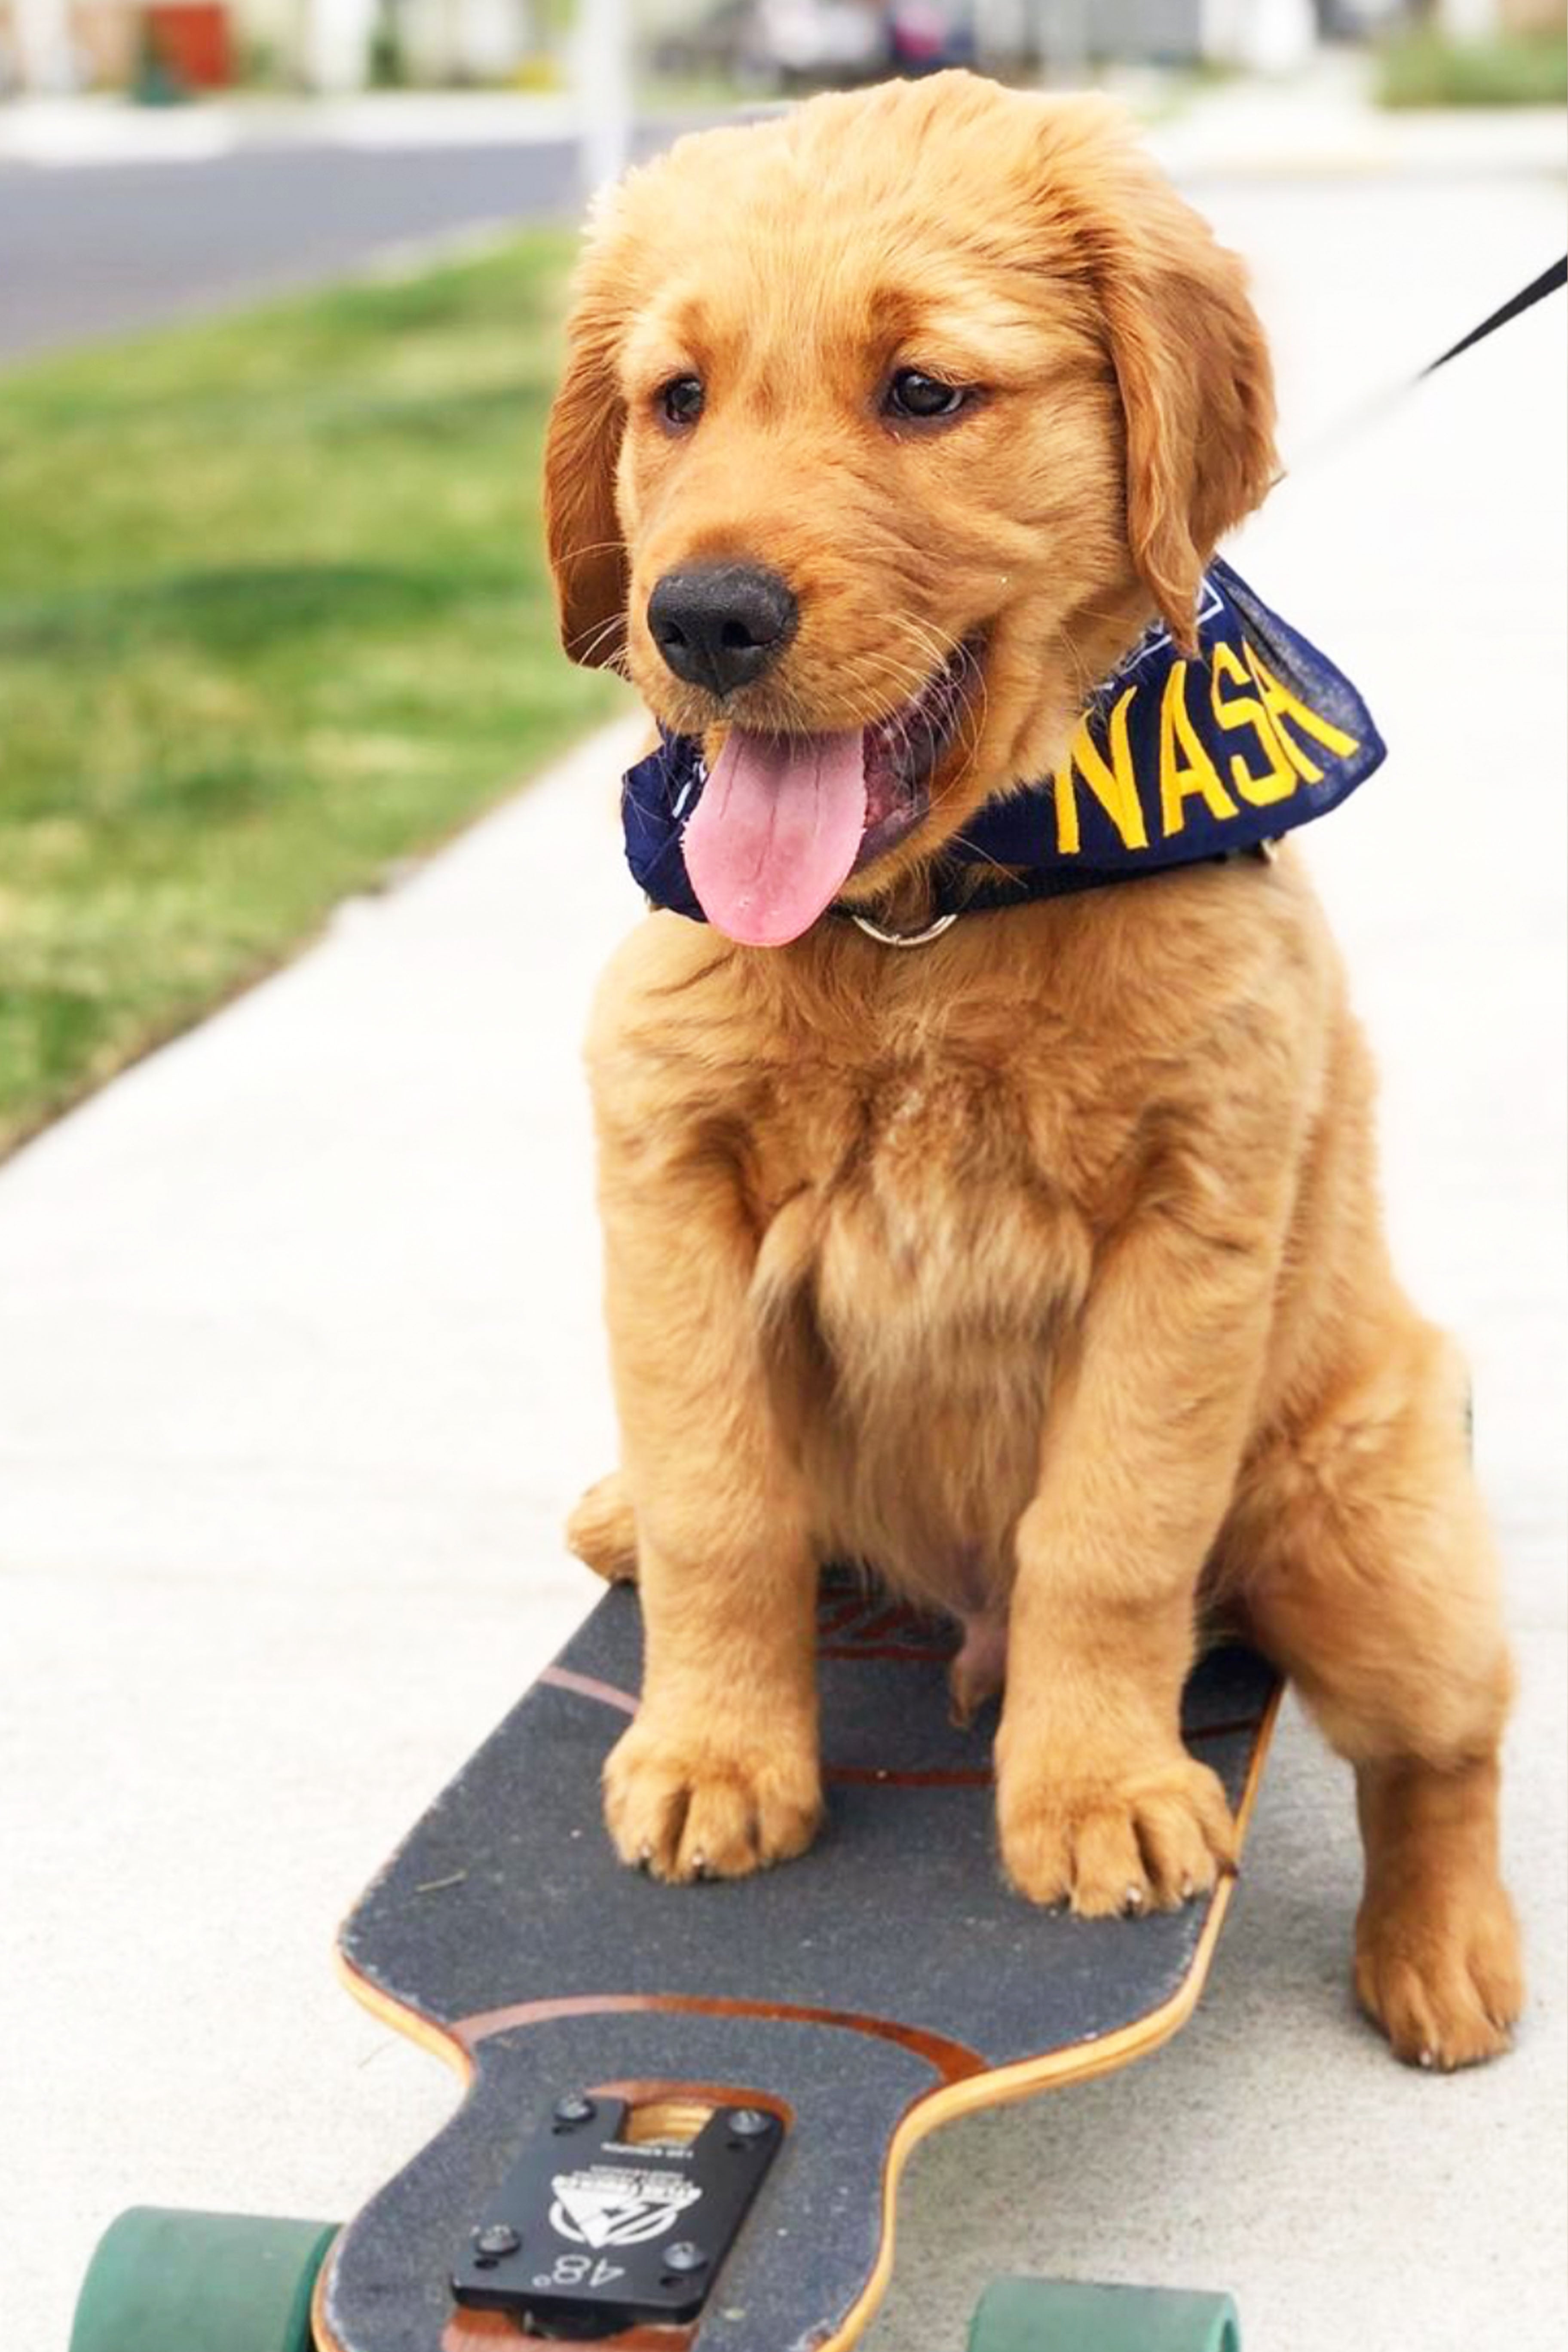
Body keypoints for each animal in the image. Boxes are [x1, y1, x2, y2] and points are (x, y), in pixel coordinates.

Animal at [550, 69, 1523, 2079]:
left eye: (923, 391)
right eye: (675, 400)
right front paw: (712, 1753)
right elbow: (719, 1498)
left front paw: (1090, 1792)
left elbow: (1109, 1529)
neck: (927, 924)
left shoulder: (1189, 1220)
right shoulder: (665, 1176)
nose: (699, 621)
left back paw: (1440, 1952)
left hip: (1371, 1536)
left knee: (1444, 1744)